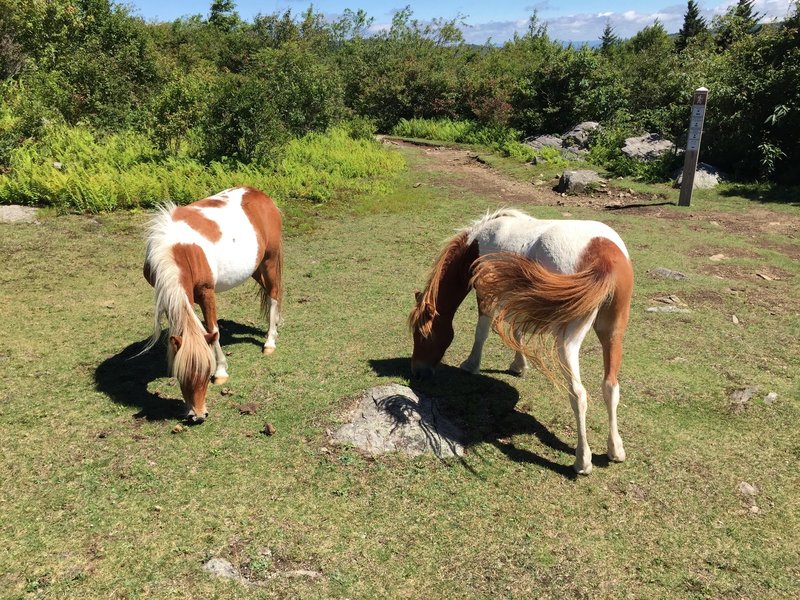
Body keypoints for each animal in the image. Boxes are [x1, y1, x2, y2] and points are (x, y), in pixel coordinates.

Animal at [142, 186, 282, 422]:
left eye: (207, 373)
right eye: (181, 376)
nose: (198, 416)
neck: (180, 251)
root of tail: (259, 195)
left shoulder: (206, 293)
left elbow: (212, 329)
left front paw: (222, 371)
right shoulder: (173, 296)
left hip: (270, 260)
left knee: (273, 294)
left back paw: (270, 342)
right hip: (255, 267)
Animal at [410, 209, 636, 476]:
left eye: (422, 335)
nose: (417, 371)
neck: (476, 243)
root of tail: (603, 252)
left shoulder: (486, 295)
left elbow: (481, 331)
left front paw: (471, 365)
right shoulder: (519, 300)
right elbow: (517, 331)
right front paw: (519, 365)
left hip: (567, 342)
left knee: (578, 394)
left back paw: (583, 461)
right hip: (613, 333)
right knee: (610, 387)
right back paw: (615, 450)